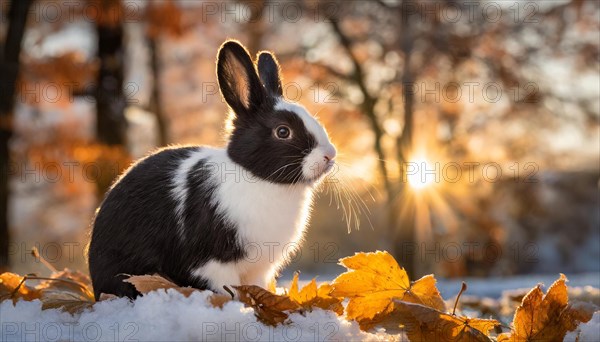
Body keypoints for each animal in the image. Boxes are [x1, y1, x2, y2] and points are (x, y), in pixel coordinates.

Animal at [88, 38, 338, 298]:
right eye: (282, 131)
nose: (330, 155)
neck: (260, 180)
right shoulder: (213, 265)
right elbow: (226, 289)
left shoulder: (259, 269)